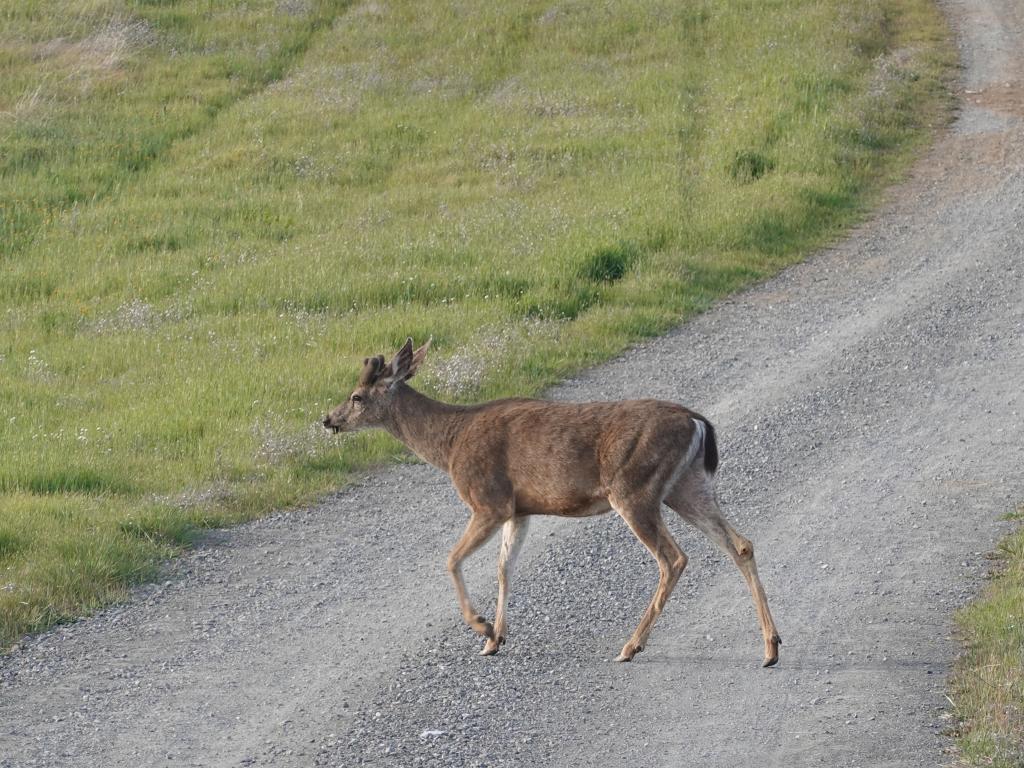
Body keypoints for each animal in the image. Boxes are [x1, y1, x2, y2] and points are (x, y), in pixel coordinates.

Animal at [323, 337, 778, 667]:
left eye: (357, 396)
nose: (328, 419)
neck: (450, 443)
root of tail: (697, 421)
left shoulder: (488, 501)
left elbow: (452, 560)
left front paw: (481, 626)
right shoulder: (518, 510)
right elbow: (504, 568)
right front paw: (495, 639)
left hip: (633, 488)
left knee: (674, 558)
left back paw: (630, 646)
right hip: (686, 485)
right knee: (740, 543)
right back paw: (771, 647)